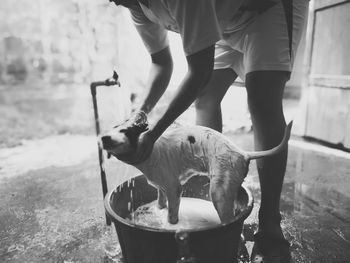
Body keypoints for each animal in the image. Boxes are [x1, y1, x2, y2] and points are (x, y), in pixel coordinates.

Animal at [101, 112, 292, 226]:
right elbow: (161, 205)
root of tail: (243, 153)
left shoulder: (174, 189)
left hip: (218, 192)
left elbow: (171, 217)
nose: (103, 137)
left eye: (125, 131)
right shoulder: (161, 189)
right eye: (114, 128)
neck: (150, 151)